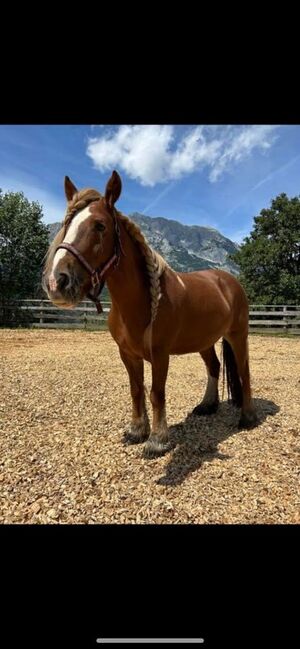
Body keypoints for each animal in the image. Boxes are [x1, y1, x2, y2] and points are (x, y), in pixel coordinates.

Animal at [42, 170, 258, 458]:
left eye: (100, 226)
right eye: (67, 225)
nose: (57, 282)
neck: (140, 303)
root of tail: (229, 281)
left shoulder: (160, 354)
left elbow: (157, 392)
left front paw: (157, 440)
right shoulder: (127, 353)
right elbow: (136, 390)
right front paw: (136, 431)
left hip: (238, 335)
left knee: (244, 371)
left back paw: (247, 418)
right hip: (205, 340)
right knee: (214, 366)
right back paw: (207, 406)